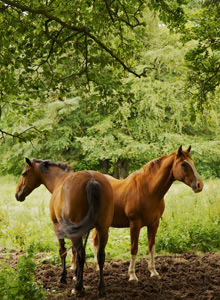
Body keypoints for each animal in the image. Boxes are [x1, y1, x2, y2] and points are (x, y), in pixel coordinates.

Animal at [15, 158, 113, 296]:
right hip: (103, 229)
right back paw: (101, 288)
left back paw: (78, 288)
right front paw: (76, 274)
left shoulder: (57, 227)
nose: (17, 194)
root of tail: (92, 180)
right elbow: (74, 252)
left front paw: (63, 277)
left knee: (81, 255)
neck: (59, 180)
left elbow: (63, 251)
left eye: (24, 174)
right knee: (100, 256)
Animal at [92, 145, 203, 282]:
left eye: (193, 162)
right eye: (183, 164)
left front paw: (153, 272)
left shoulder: (154, 223)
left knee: (95, 239)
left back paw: (97, 267)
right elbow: (134, 248)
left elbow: (151, 246)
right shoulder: (135, 224)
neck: (148, 190)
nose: (199, 185)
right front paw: (132, 275)